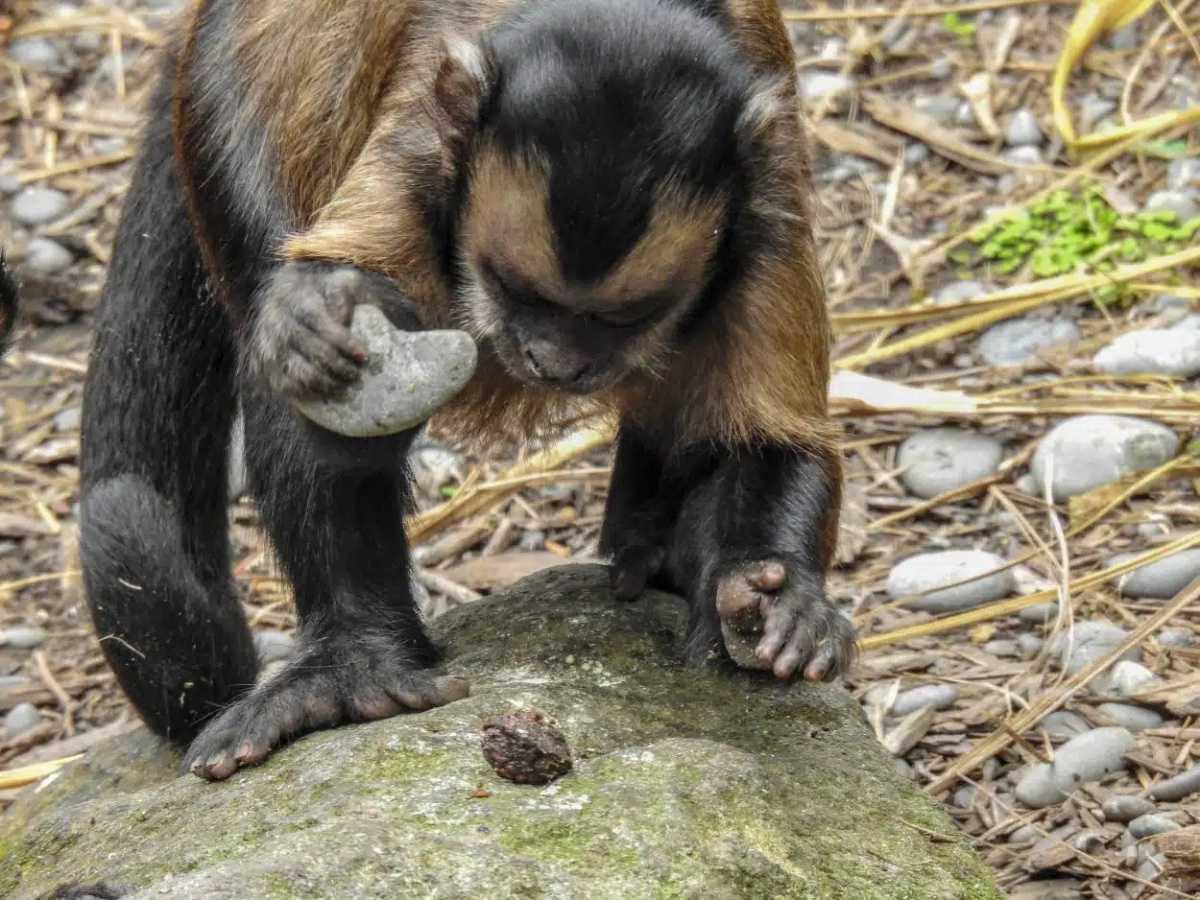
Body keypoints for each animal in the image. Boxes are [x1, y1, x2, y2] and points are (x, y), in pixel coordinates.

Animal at [78, 0, 855, 783]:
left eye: (627, 317)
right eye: (513, 287)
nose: (553, 362)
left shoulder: (767, 209)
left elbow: (764, 440)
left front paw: (776, 596)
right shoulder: (424, 148)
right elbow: (330, 368)